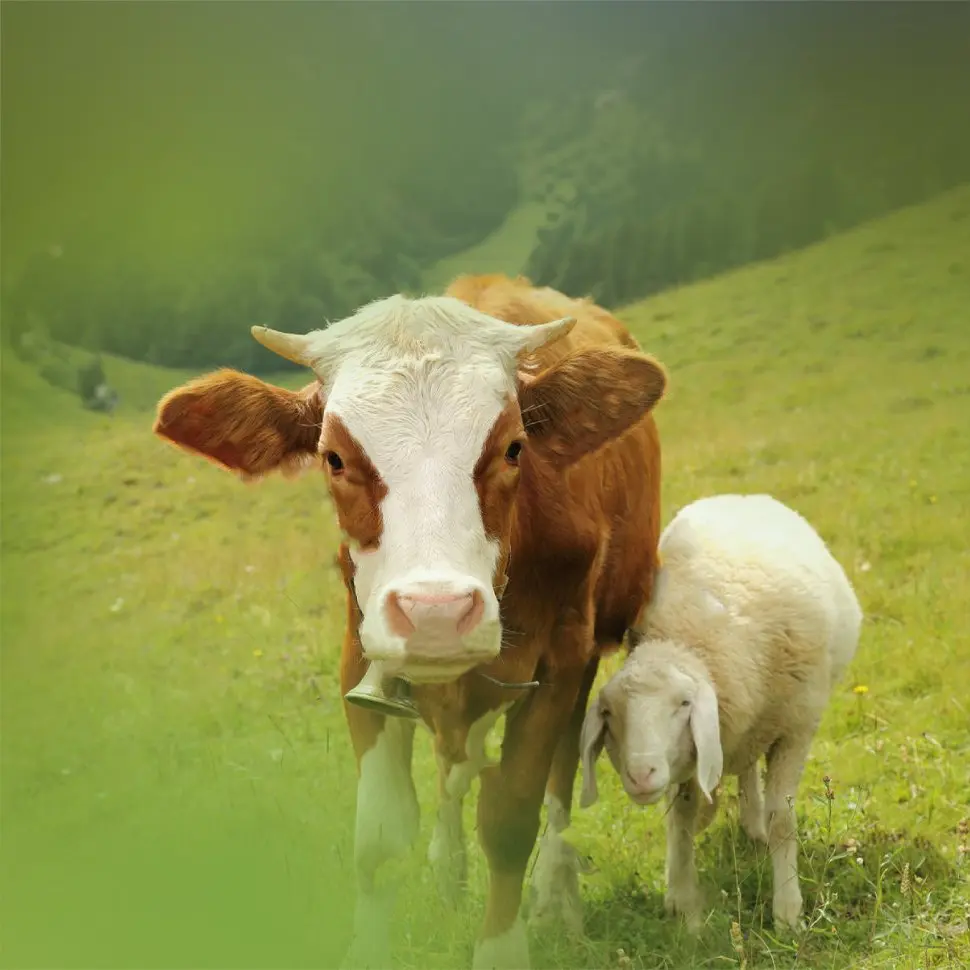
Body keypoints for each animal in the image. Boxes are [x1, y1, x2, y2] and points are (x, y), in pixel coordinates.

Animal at [153, 274, 666, 969]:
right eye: (334, 458)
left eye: (514, 448)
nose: (437, 614)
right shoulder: (361, 653)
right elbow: (381, 834)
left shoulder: (561, 657)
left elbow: (511, 815)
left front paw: (503, 943)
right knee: (456, 764)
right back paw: (450, 867)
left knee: (558, 771)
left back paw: (556, 894)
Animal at [578, 493, 863, 932]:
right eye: (608, 713)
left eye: (684, 703)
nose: (641, 774)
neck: (688, 636)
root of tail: (742, 496)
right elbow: (681, 815)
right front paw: (683, 901)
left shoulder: (795, 729)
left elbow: (783, 820)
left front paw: (787, 912)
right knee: (745, 767)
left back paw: (756, 827)